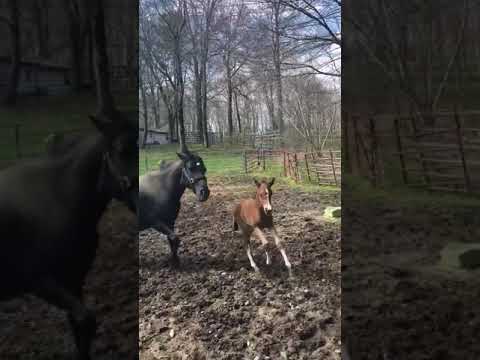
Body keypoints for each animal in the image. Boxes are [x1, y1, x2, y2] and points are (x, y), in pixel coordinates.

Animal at [0, 112, 137, 360]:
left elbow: (79, 326)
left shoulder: (74, 280)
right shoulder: (40, 280)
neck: (60, 199)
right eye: (122, 150)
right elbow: (86, 320)